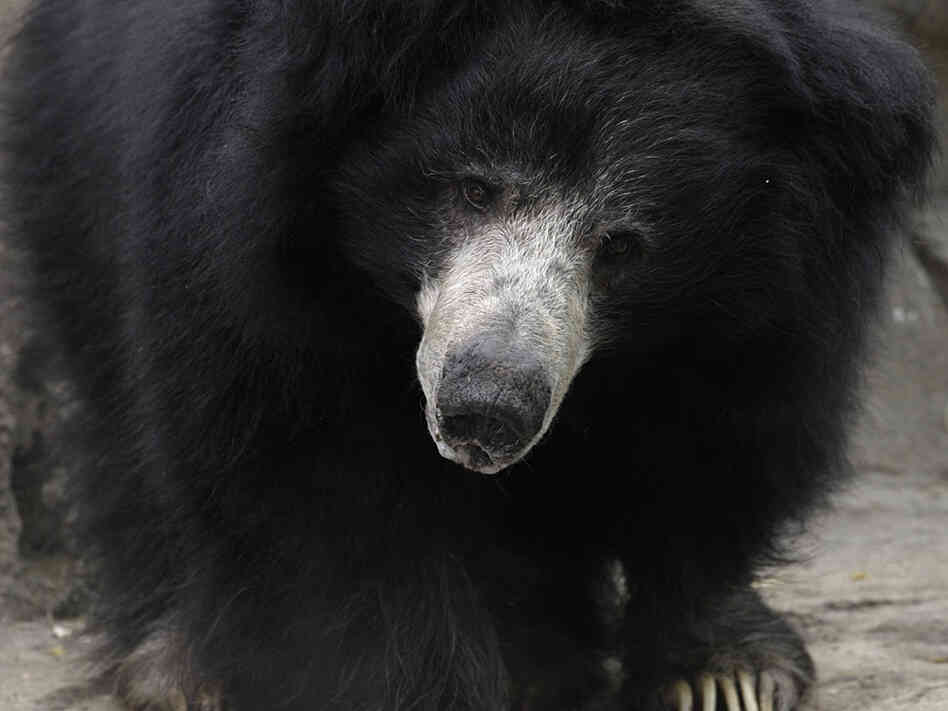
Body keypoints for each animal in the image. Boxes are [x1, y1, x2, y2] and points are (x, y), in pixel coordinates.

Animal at [1, 0, 935, 709]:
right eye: (473, 188)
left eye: (623, 246)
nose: (487, 408)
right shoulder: (245, 207)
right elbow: (327, 478)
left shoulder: (785, 271)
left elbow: (726, 430)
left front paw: (724, 671)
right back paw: (183, 664)